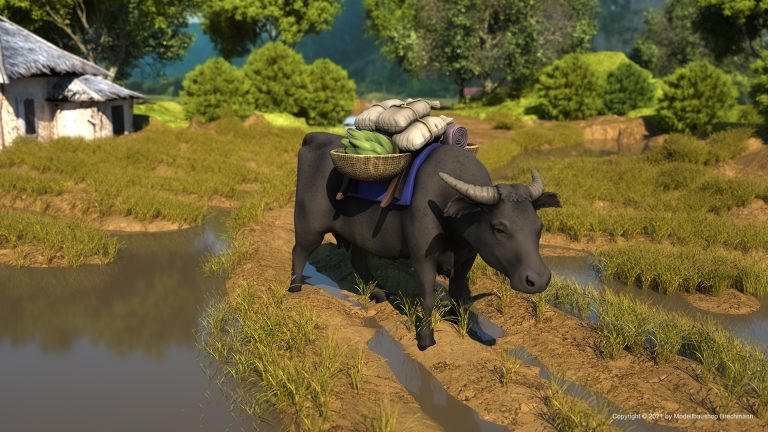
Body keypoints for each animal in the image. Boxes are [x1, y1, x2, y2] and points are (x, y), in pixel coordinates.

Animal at [290, 132, 561, 350]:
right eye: (499, 228)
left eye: (538, 227)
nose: (538, 280)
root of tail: (314, 138)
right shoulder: (422, 258)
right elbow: (428, 298)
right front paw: (426, 339)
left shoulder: (467, 257)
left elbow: (457, 293)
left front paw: (461, 323)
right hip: (308, 225)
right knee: (299, 250)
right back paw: (294, 287)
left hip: (359, 235)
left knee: (358, 258)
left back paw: (379, 293)